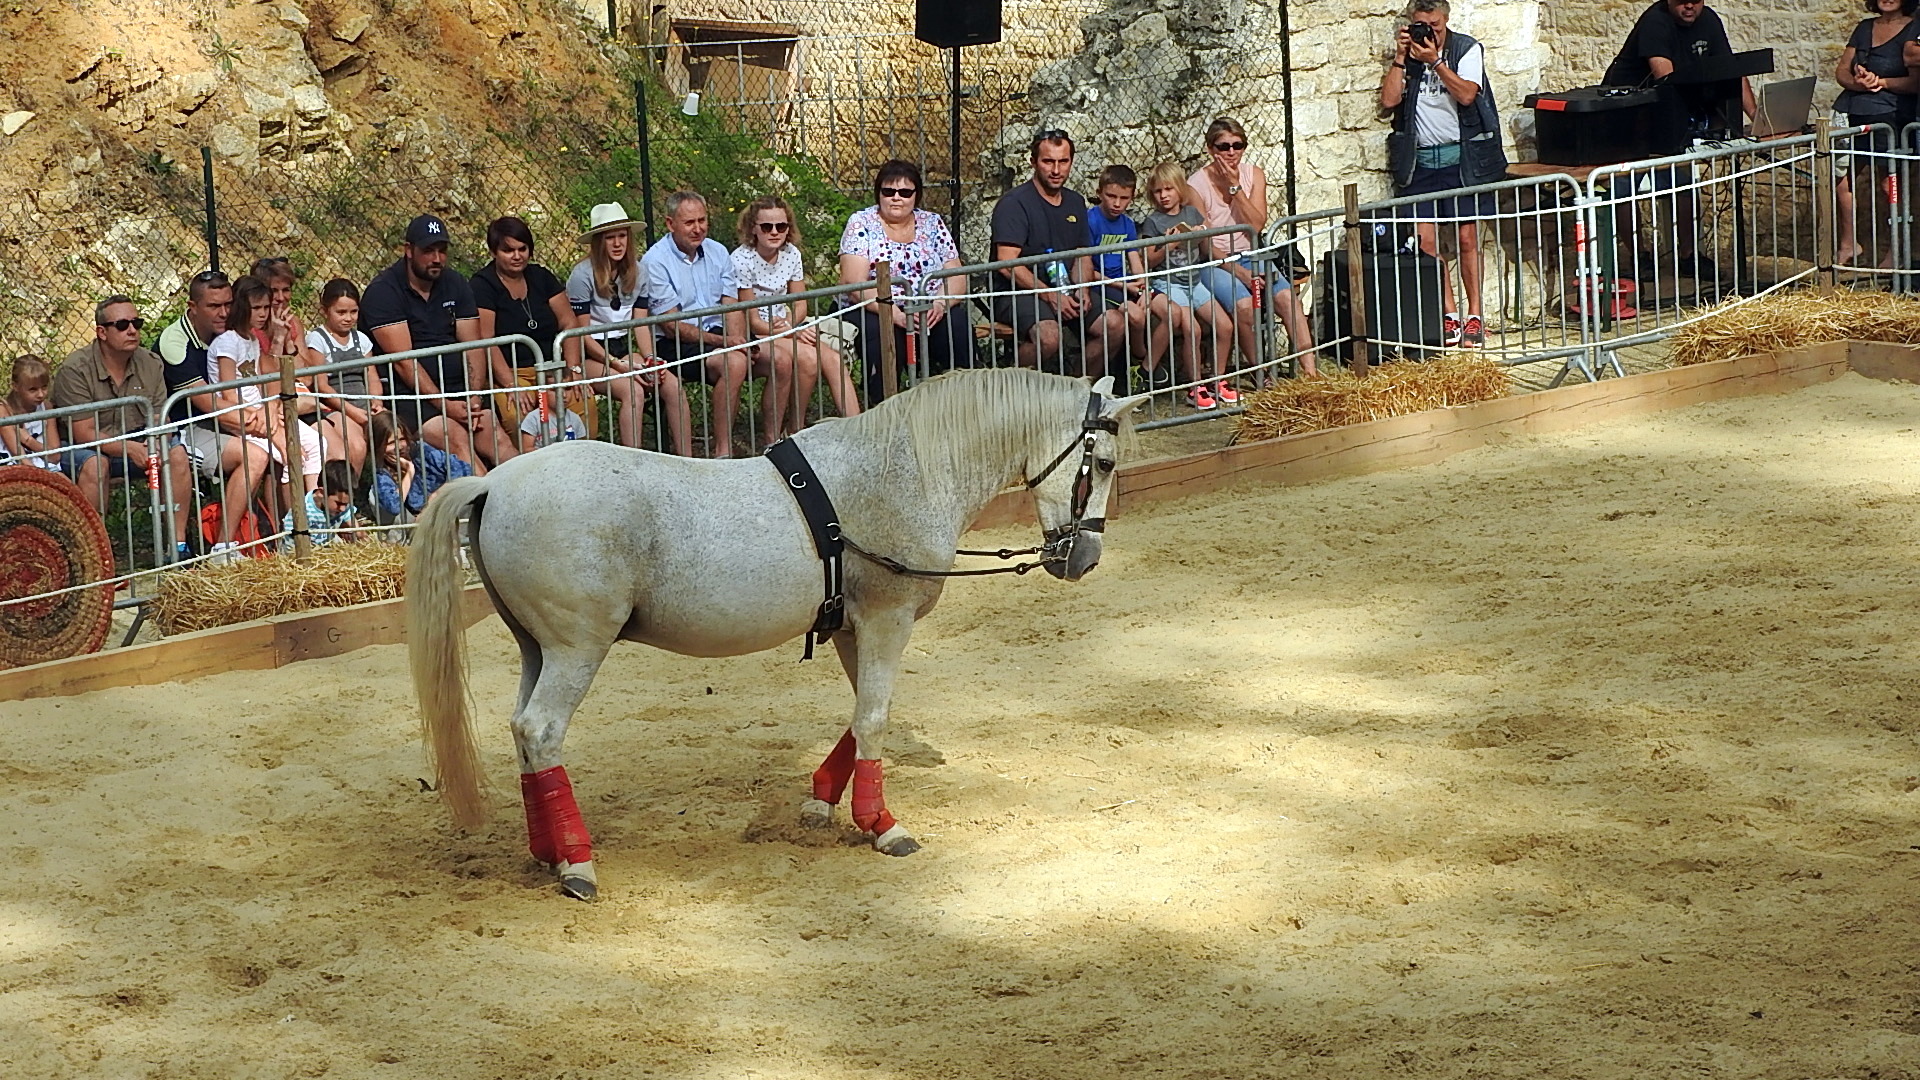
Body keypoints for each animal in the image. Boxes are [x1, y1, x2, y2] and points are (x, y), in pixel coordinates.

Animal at [407, 368, 1146, 900]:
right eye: (1106, 462)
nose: (1085, 559)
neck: (906, 469)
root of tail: (495, 483)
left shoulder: (852, 626)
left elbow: (863, 713)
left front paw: (823, 800)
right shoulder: (888, 620)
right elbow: (874, 717)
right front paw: (882, 826)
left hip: (537, 648)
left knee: (521, 733)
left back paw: (547, 850)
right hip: (575, 650)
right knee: (541, 732)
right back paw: (577, 864)